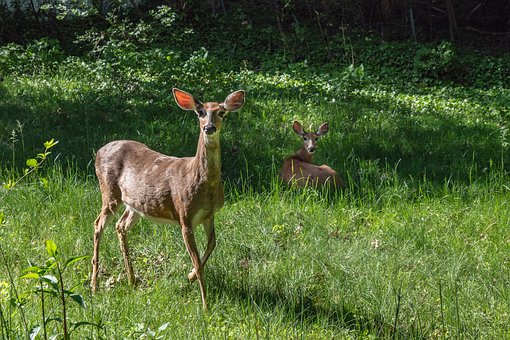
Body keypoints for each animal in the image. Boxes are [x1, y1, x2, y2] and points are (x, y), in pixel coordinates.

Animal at [91, 88, 245, 310]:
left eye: (222, 112)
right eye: (200, 112)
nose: (209, 127)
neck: (203, 183)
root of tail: (99, 151)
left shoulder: (209, 215)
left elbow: (212, 245)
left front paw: (189, 276)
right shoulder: (184, 215)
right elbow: (197, 261)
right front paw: (205, 305)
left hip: (134, 204)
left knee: (120, 226)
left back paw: (132, 280)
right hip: (109, 192)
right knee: (98, 225)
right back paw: (94, 286)